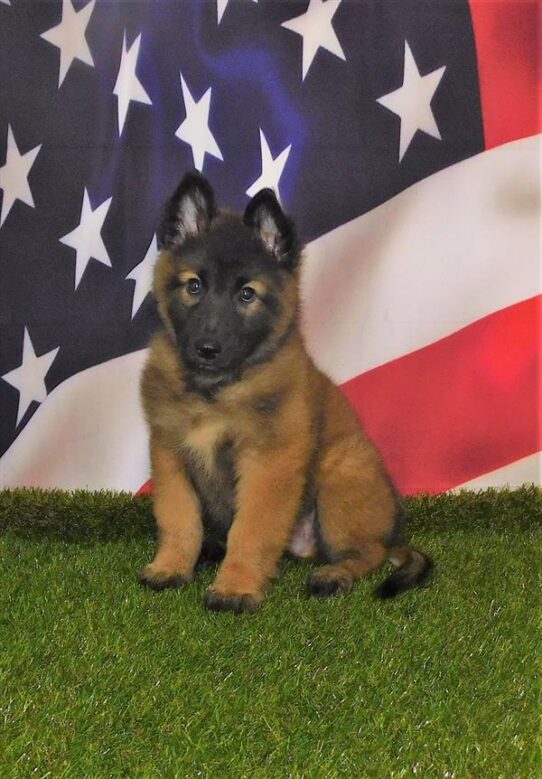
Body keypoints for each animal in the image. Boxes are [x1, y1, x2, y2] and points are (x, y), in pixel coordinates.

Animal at [139, 172, 434, 616]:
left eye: (247, 294)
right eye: (194, 286)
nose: (207, 349)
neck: (217, 390)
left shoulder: (268, 463)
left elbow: (251, 530)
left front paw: (237, 587)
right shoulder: (170, 454)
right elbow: (179, 521)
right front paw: (171, 567)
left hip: (341, 479)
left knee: (368, 552)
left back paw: (335, 574)